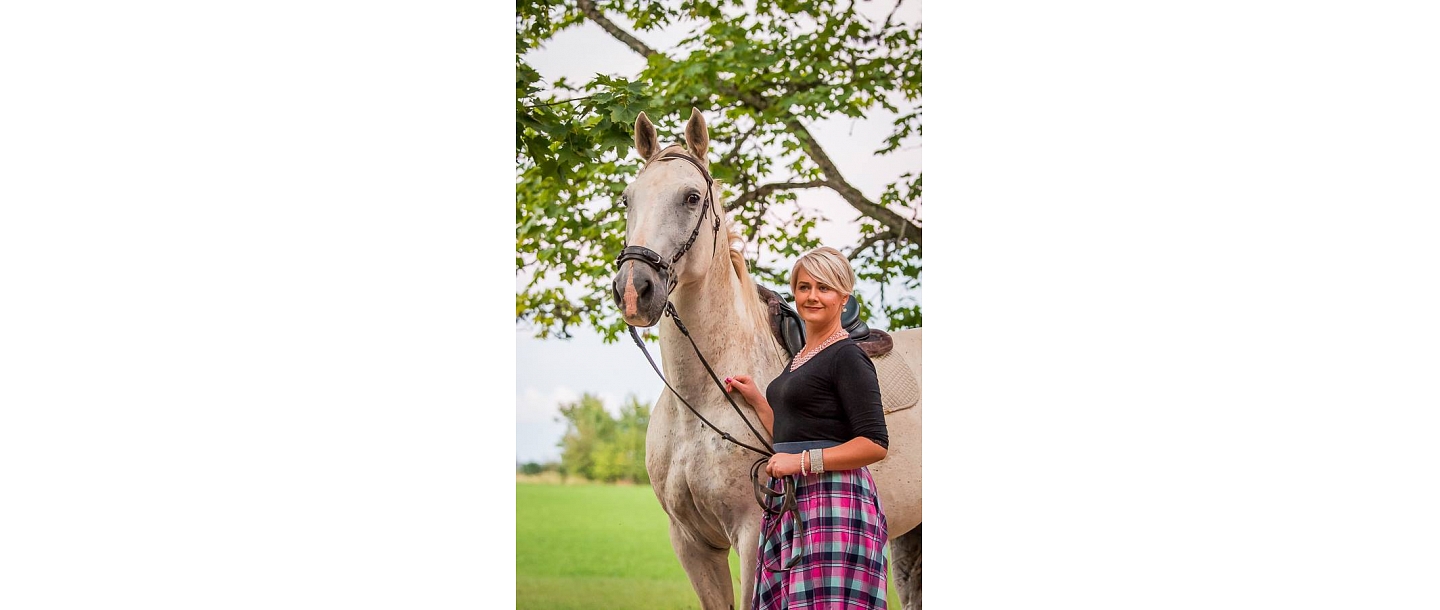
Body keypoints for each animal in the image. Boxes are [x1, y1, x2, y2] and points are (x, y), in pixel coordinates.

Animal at [610, 107, 923, 609]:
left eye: (691, 197)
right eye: (627, 199)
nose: (634, 290)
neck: (700, 403)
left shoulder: (753, 533)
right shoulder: (690, 543)